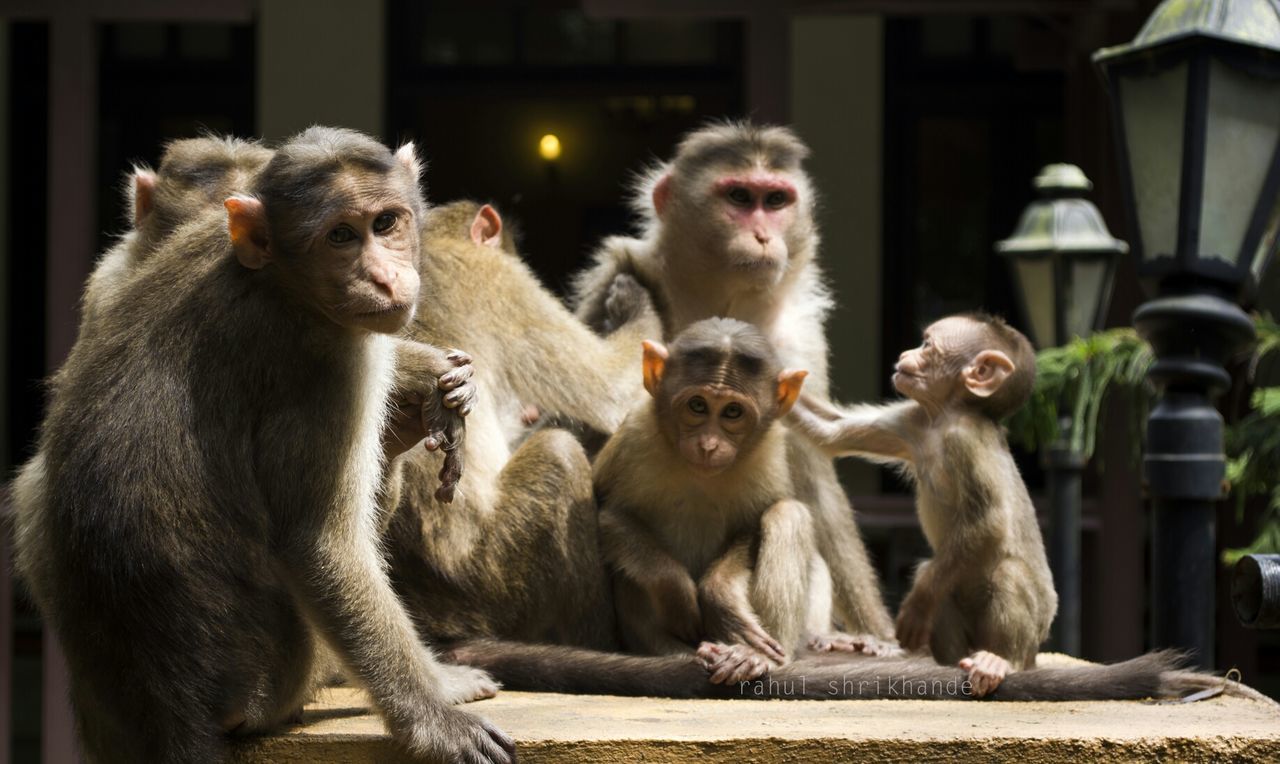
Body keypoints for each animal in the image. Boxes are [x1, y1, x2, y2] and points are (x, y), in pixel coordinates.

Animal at [8, 127, 514, 757]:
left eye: (386, 223)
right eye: (340, 236)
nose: (384, 278)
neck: (278, 277)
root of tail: (170, 713)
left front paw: (433, 377)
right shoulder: (327, 363)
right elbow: (320, 547)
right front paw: (433, 717)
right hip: (271, 684)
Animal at [576, 120, 896, 650]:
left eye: (776, 200)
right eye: (740, 197)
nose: (763, 235)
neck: (724, 303)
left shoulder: (799, 341)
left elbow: (814, 481)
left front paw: (876, 632)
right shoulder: (616, 281)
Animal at [788, 312, 1059, 696]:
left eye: (928, 346)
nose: (905, 354)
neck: (943, 419)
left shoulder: (965, 439)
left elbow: (989, 520)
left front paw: (915, 606)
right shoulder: (913, 421)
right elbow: (831, 431)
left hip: (1034, 630)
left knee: (1003, 572)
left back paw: (999, 661)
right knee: (936, 576)